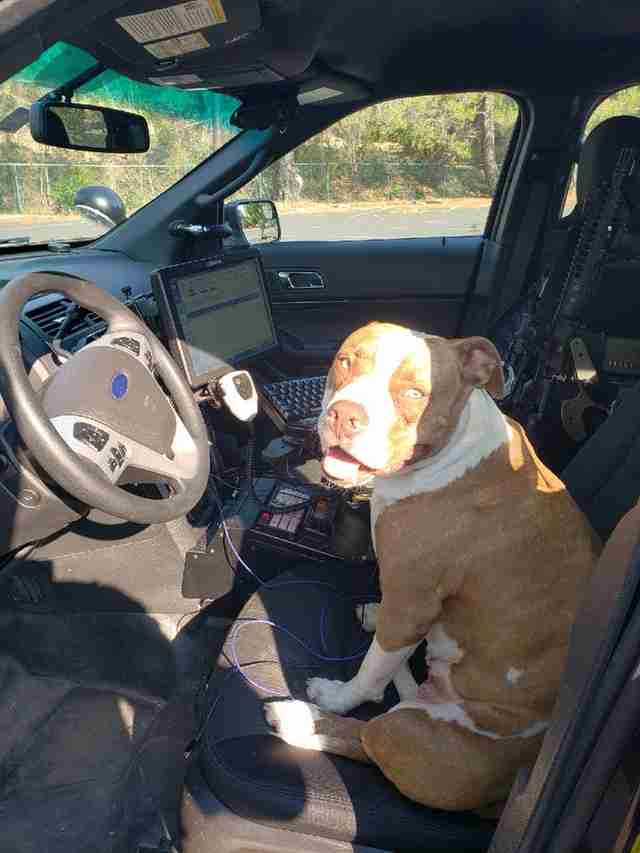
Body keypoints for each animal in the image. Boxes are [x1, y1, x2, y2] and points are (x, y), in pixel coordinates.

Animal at [264, 322, 596, 812]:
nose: (345, 416)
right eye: (347, 360)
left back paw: (302, 718)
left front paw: (341, 696)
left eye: (415, 393)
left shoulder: (412, 603)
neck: (449, 453)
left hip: (412, 734)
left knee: (367, 733)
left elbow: (369, 675)